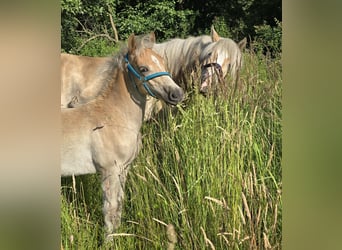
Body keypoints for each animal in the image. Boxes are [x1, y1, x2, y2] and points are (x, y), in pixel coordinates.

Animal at [61, 32, 184, 237]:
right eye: (143, 68)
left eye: (162, 63)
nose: (177, 94)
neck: (113, 117)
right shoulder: (109, 171)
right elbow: (110, 211)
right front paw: (110, 240)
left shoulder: (124, 170)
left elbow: (118, 207)